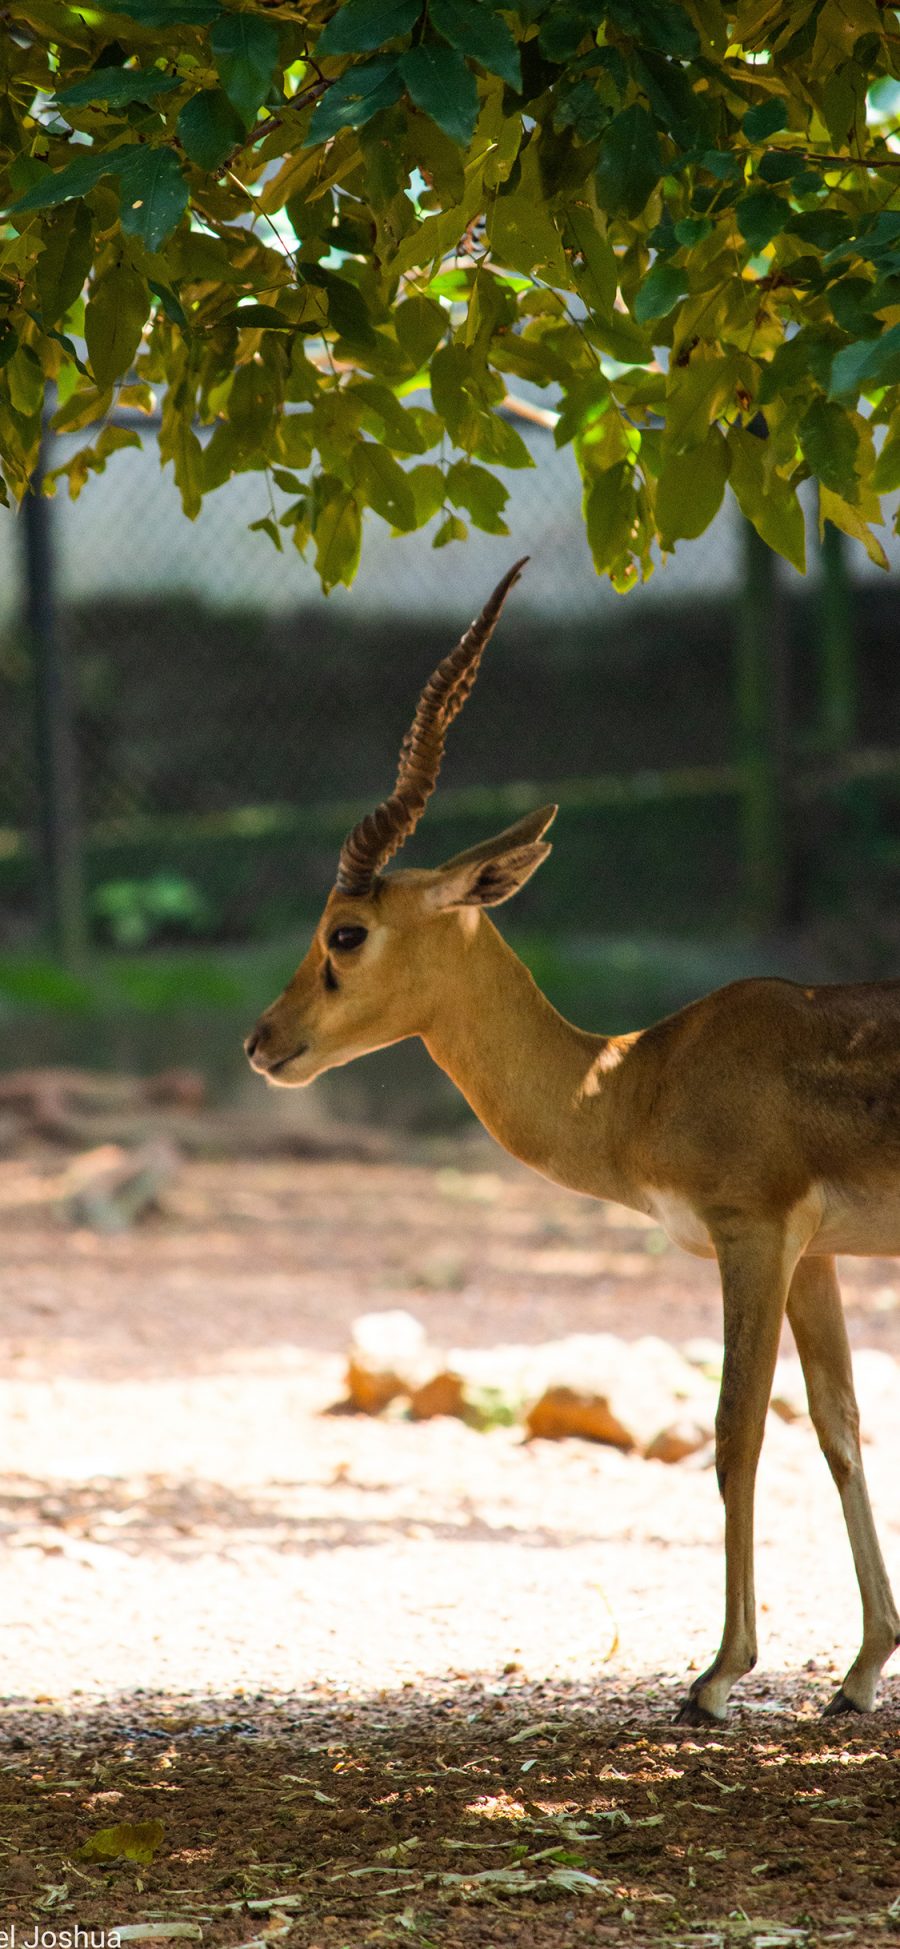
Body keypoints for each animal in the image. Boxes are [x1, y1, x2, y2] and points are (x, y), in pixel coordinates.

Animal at [244, 553, 900, 1722]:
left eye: (345, 932)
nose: (262, 1041)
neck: (636, 1078)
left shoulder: (753, 1232)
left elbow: (735, 1433)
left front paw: (715, 1675)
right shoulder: (816, 1252)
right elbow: (839, 1426)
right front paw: (863, 1667)